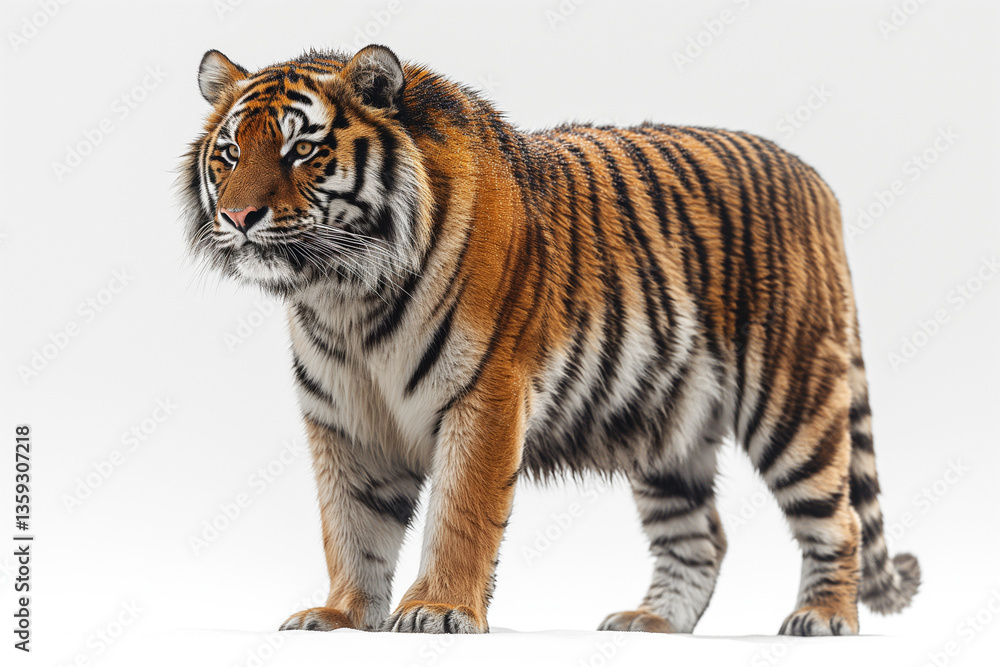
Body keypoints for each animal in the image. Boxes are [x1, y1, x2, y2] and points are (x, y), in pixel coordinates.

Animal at [178, 44, 920, 636]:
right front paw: (339, 615)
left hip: (791, 396)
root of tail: (814, 179)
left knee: (839, 518)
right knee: (701, 536)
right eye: (231, 152)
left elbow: (461, 512)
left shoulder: (485, 392)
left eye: (302, 149)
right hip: (668, 426)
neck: (344, 295)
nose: (238, 217)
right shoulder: (343, 417)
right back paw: (652, 622)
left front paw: (436, 610)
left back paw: (823, 618)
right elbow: (350, 526)